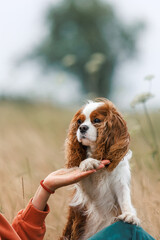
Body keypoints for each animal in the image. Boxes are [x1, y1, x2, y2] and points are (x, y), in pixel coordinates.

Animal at [60, 98, 140, 240]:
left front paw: (129, 215)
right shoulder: (88, 191)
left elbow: (125, 199)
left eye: (96, 120)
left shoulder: (120, 182)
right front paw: (88, 162)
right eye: (79, 121)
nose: (82, 128)